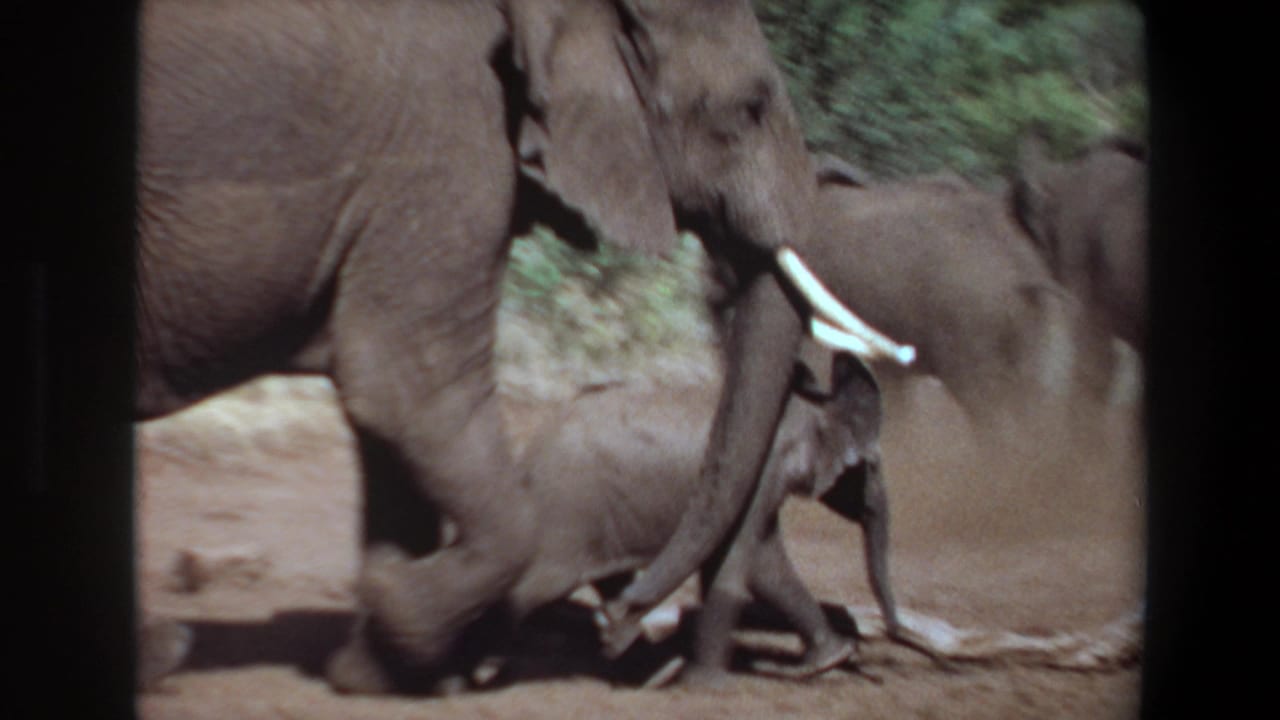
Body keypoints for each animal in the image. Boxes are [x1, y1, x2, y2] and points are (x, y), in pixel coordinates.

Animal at [136, 0, 891, 694]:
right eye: (751, 107)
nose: (622, 622)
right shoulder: (450, 148)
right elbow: (408, 393)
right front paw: (400, 620)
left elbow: (387, 424)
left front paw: (377, 669)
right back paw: (170, 652)